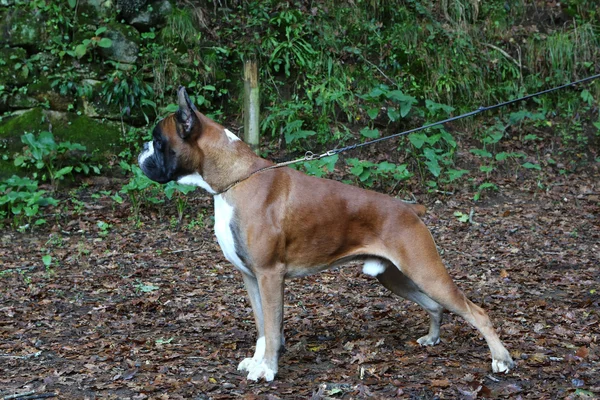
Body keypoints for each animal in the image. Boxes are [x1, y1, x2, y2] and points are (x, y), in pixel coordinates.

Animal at [138, 86, 512, 382]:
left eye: (157, 141)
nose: (140, 151)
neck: (234, 179)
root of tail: (410, 209)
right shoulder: (250, 277)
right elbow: (262, 326)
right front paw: (258, 361)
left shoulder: (270, 275)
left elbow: (272, 327)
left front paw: (268, 369)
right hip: (394, 276)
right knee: (435, 306)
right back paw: (432, 339)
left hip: (425, 271)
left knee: (476, 312)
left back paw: (501, 359)